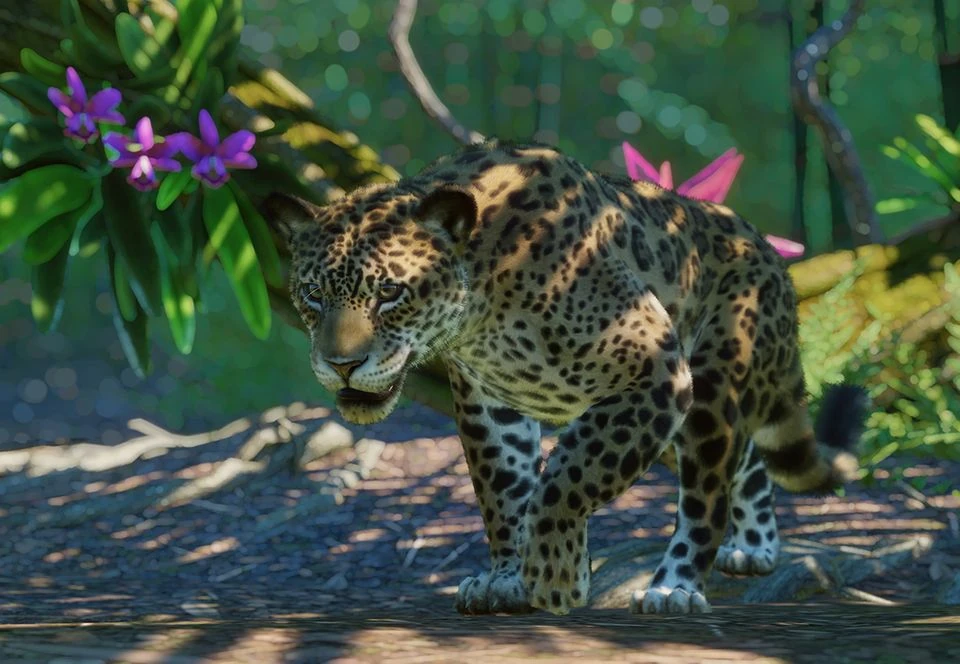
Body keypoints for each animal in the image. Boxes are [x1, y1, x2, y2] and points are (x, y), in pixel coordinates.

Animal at [262, 139, 869, 616]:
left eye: (389, 293)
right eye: (312, 295)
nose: (341, 364)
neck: (484, 296)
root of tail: (768, 250)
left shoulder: (654, 368)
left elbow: (569, 471)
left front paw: (554, 572)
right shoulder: (488, 401)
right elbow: (503, 488)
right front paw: (507, 577)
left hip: (709, 386)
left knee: (706, 494)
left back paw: (675, 587)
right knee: (746, 459)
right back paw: (755, 547)